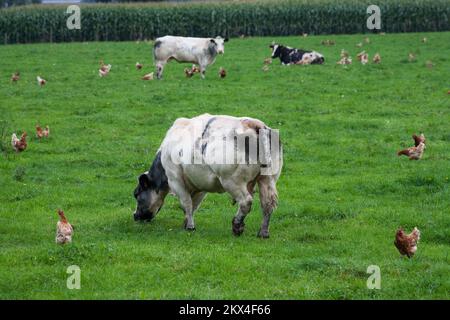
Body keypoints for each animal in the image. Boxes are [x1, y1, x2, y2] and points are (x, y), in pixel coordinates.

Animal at [132, 114, 284, 238]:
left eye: (137, 194)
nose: (135, 215)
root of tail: (255, 124)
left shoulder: (175, 180)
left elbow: (186, 203)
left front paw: (190, 226)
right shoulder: (200, 183)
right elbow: (194, 204)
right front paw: (187, 221)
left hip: (232, 180)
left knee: (246, 201)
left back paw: (237, 226)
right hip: (268, 179)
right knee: (268, 204)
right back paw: (263, 232)